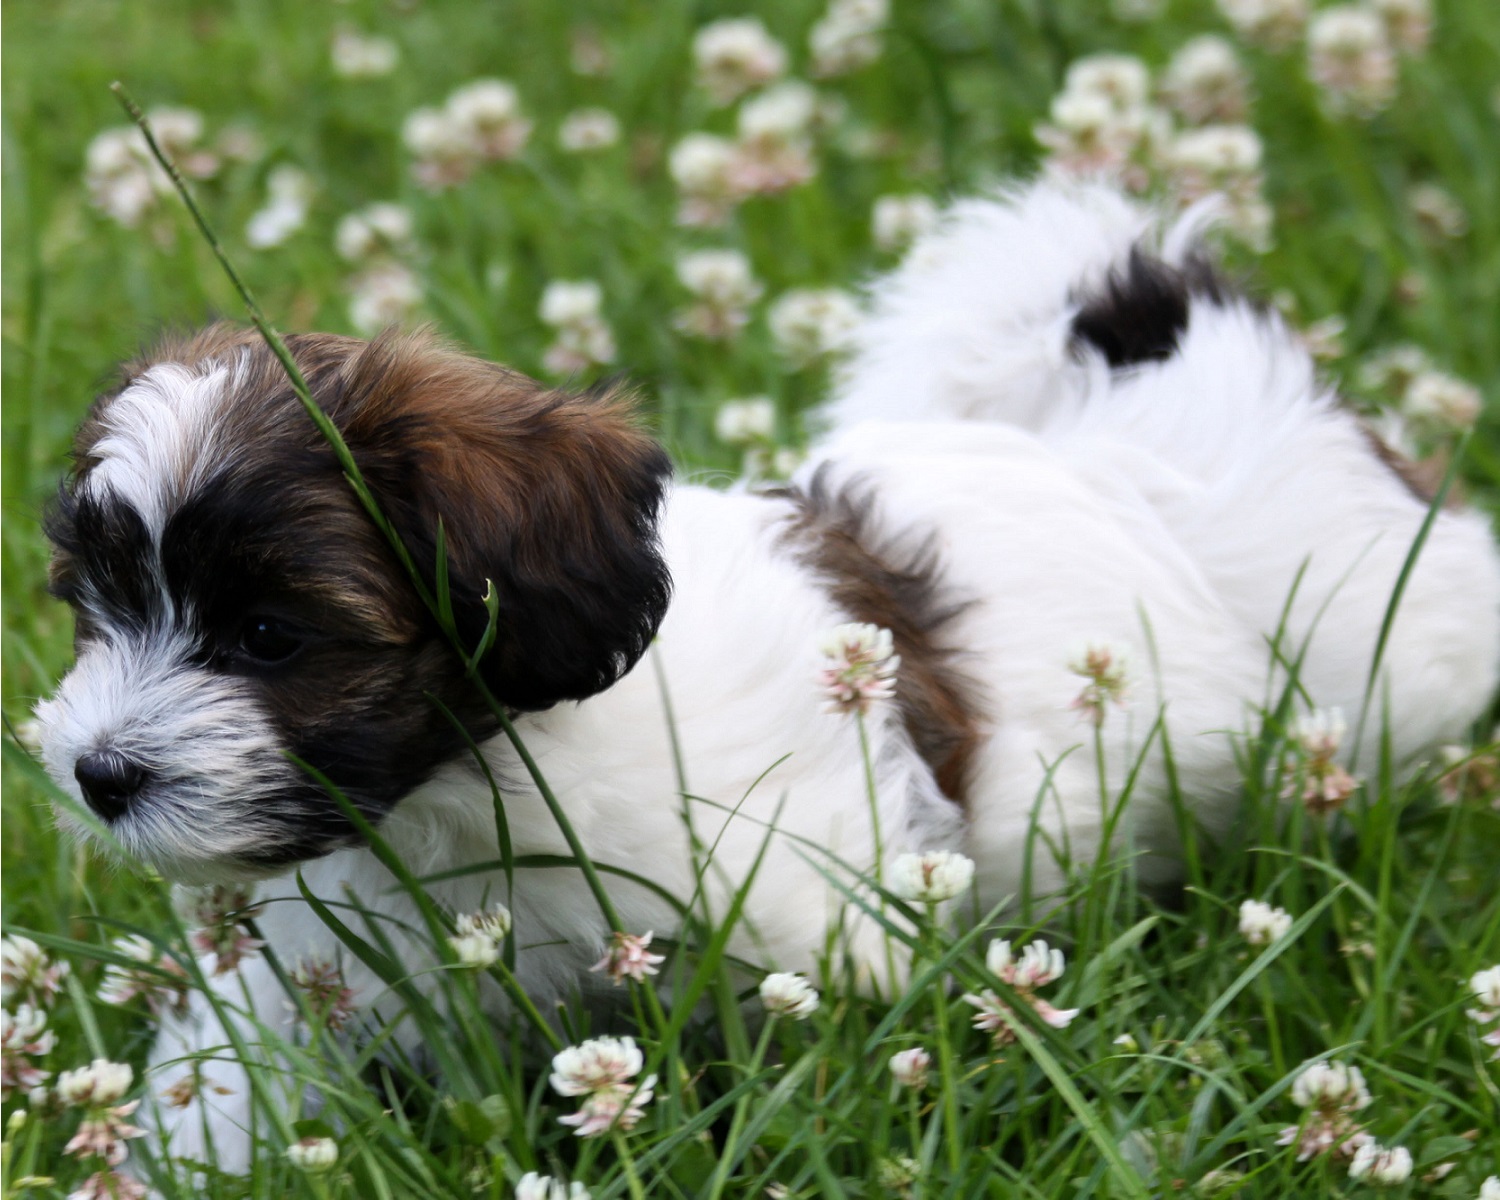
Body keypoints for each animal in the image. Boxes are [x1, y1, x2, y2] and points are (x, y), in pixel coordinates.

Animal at [35, 183, 1500, 1170]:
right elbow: (235, 1069)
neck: (471, 783)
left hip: (1380, 662)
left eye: (269, 637)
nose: (97, 774)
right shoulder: (316, 959)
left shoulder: (800, 930)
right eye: (96, 610)